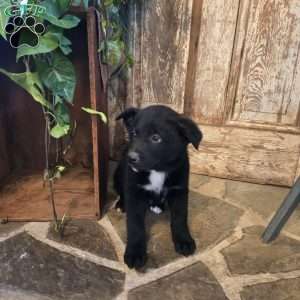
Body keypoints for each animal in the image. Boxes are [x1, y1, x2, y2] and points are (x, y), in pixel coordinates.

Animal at [113, 105, 203, 270]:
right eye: (134, 133)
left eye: (156, 138)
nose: (131, 158)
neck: (157, 170)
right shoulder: (134, 192)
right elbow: (135, 225)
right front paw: (135, 252)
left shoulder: (179, 190)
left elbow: (180, 217)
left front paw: (184, 240)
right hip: (118, 175)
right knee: (121, 191)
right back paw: (121, 204)